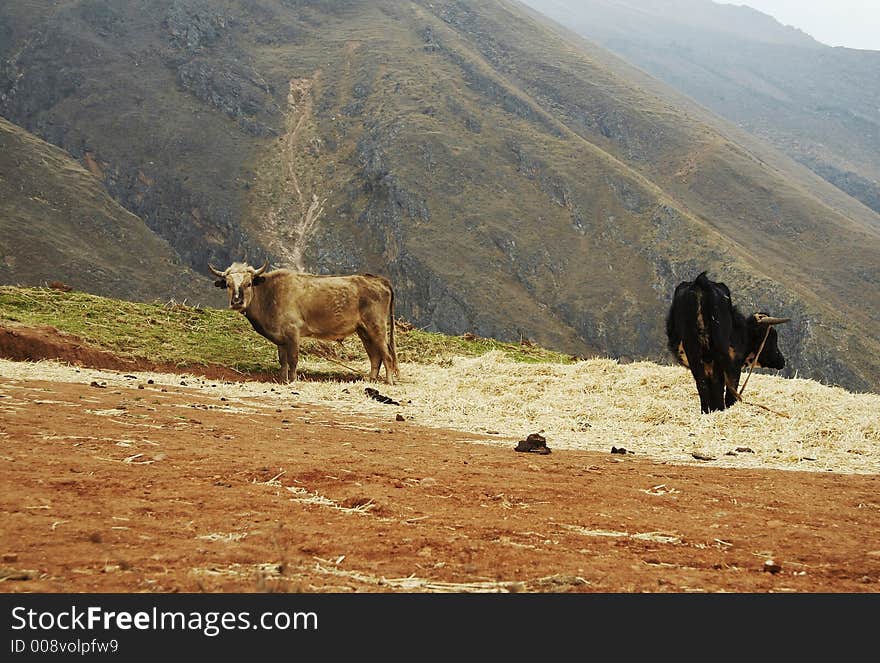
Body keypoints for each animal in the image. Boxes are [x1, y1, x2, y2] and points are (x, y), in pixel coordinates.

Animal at [210, 260, 398, 384]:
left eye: (248, 283)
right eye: (228, 284)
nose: (236, 302)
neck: (269, 294)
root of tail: (378, 280)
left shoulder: (293, 333)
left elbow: (293, 359)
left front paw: (292, 381)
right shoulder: (281, 338)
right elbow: (283, 360)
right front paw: (282, 380)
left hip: (377, 327)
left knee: (387, 355)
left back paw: (388, 382)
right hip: (364, 331)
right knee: (375, 356)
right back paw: (371, 380)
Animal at [668, 272, 792, 412]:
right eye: (771, 337)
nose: (782, 361)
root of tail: (701, 282)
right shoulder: (734, 364)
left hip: (693, 350)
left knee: (702, 382)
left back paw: (707, 411)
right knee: (717, 383)